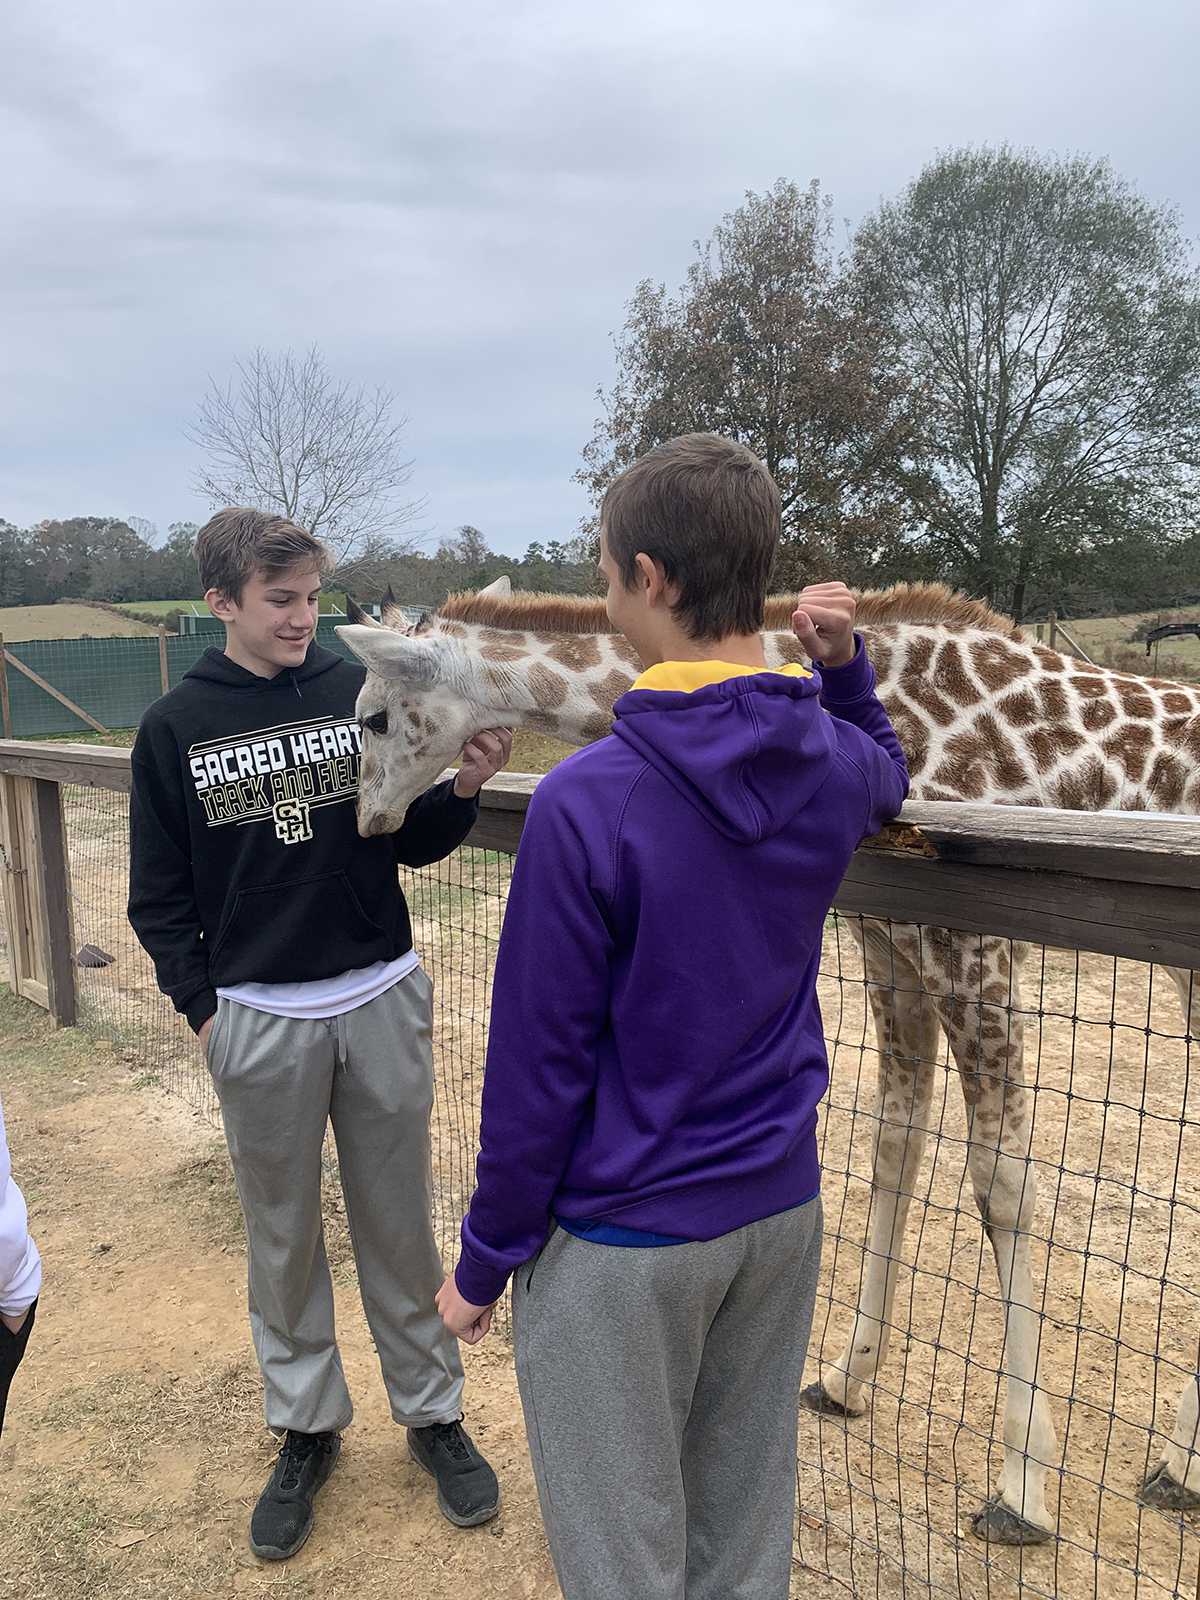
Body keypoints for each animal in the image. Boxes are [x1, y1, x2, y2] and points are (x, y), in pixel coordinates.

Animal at [336, 576, 1200, 1536]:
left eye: (374, 717)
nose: (369, 820)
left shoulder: (974, 942)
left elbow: (1002, 1186)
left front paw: (1021, 1484)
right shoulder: (889, 940)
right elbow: (896, 1144)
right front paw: (847, 1379)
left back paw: (1172, 1466)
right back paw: (1179, 1465)